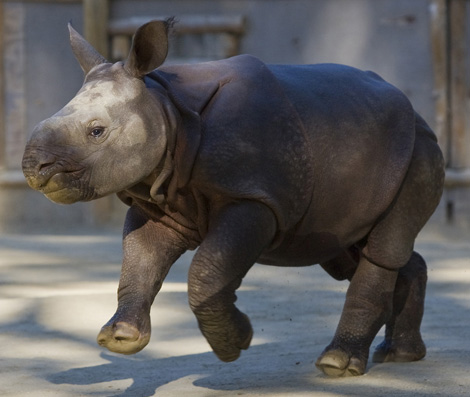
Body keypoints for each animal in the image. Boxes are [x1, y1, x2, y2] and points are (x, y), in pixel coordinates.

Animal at [23, 20, 444, 376]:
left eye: (96, 131)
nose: (33, 167)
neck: (165, 106)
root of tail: (413, 108)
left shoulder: (253, 196)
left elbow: (207, 270)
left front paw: (234, 343)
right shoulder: (158, 199)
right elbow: (139, 262)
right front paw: (121, 338)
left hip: (416, 148)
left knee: (382, 249)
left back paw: (338, 364)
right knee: (350, 249)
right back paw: (400, 355)